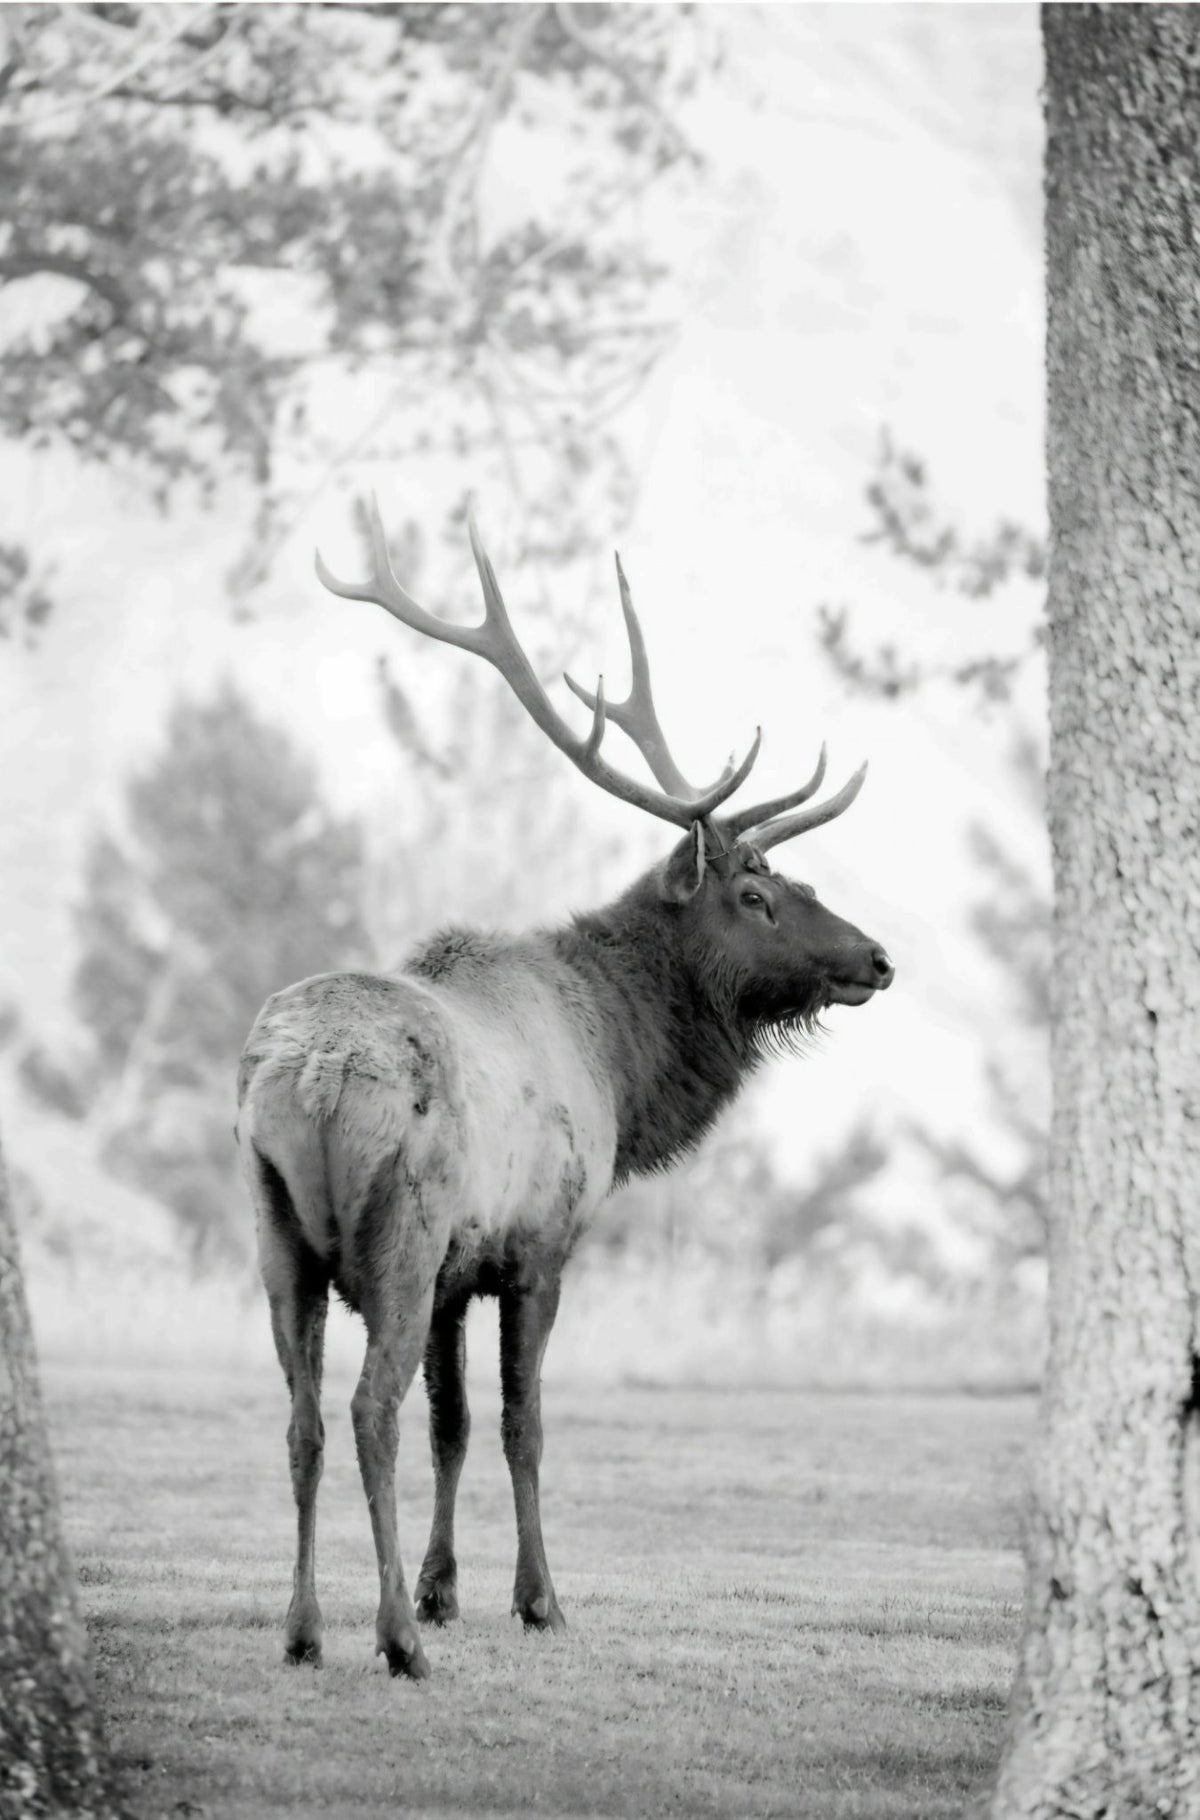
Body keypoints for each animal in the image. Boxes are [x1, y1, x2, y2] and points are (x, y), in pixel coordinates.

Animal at [236, 500, 894, 1681]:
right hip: (399, 1230)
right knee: (366, 1409)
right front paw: (533, 1597)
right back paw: (394, 1638)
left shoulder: (460, 1271)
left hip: (278, 1233)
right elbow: (520, 1422)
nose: (876, 958)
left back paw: (306, 1629)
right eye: (755, 892)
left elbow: (455, 1422)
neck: (622, 1070)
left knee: (303, 1416)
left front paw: (449, 1586)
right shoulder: (537, 1244)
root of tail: (308, 1081)